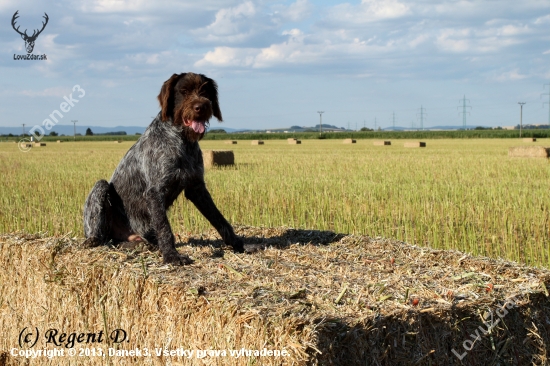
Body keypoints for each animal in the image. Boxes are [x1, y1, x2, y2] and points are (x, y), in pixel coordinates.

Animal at [82, 73, 246, 264]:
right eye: (183, 91)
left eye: (205, 91)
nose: (201, 107)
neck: (182, 140)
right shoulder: (155, 192)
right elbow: (164, 227)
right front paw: (171, 255)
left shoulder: (197, 188)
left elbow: (219, 219)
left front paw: (238, 244)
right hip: (101, 189)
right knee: (101, 237)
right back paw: (93, 241)